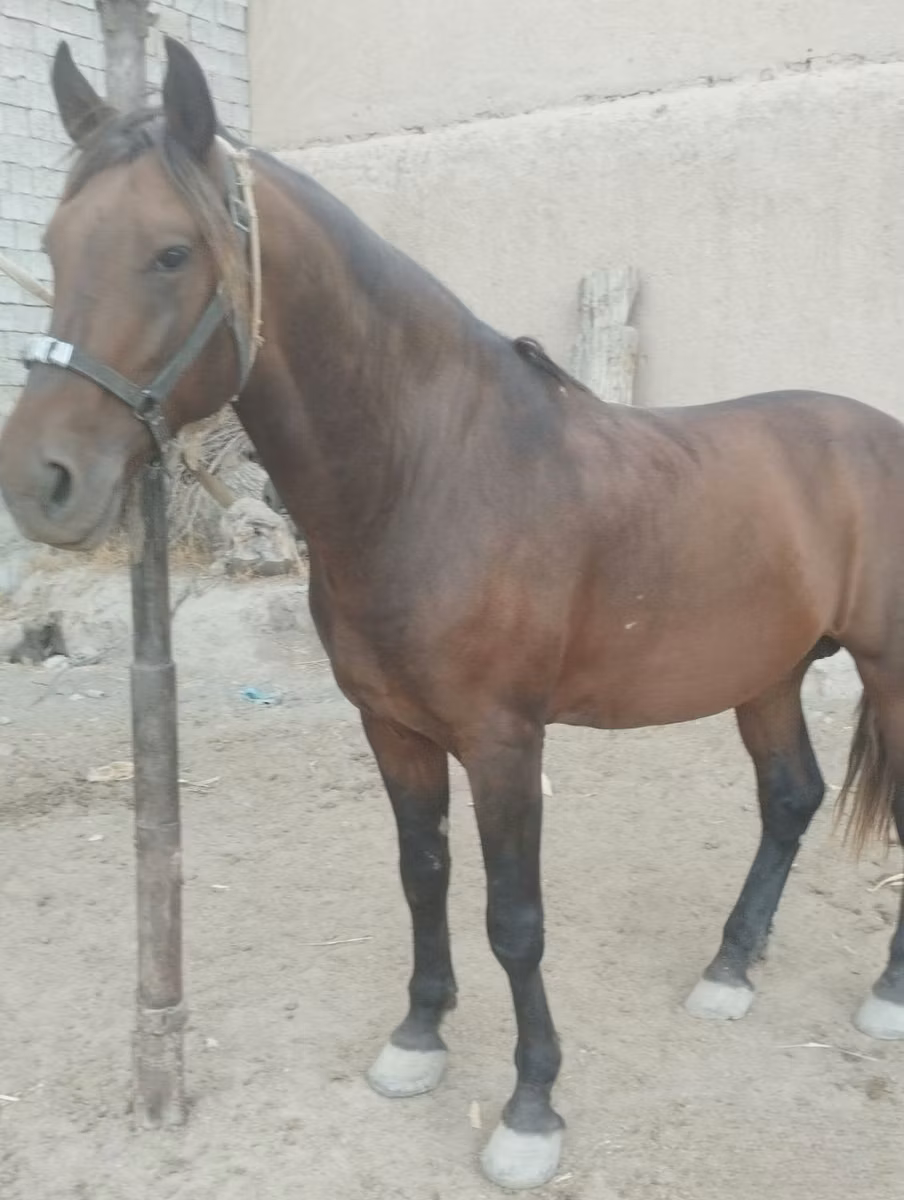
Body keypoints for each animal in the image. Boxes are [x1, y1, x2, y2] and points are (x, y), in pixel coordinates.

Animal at [1, 37, 903, 1191]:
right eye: (55, 244)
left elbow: (512, 918)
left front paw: (531, 1108)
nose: (43, 481)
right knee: (789, 799)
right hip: (766, 673)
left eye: (168, 253)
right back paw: (729, 969)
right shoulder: (393, 728)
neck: (431, 473)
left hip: (886, 669)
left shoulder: (504, 742)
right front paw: (419, 1038)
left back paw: (883, 994)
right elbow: (421, 876)